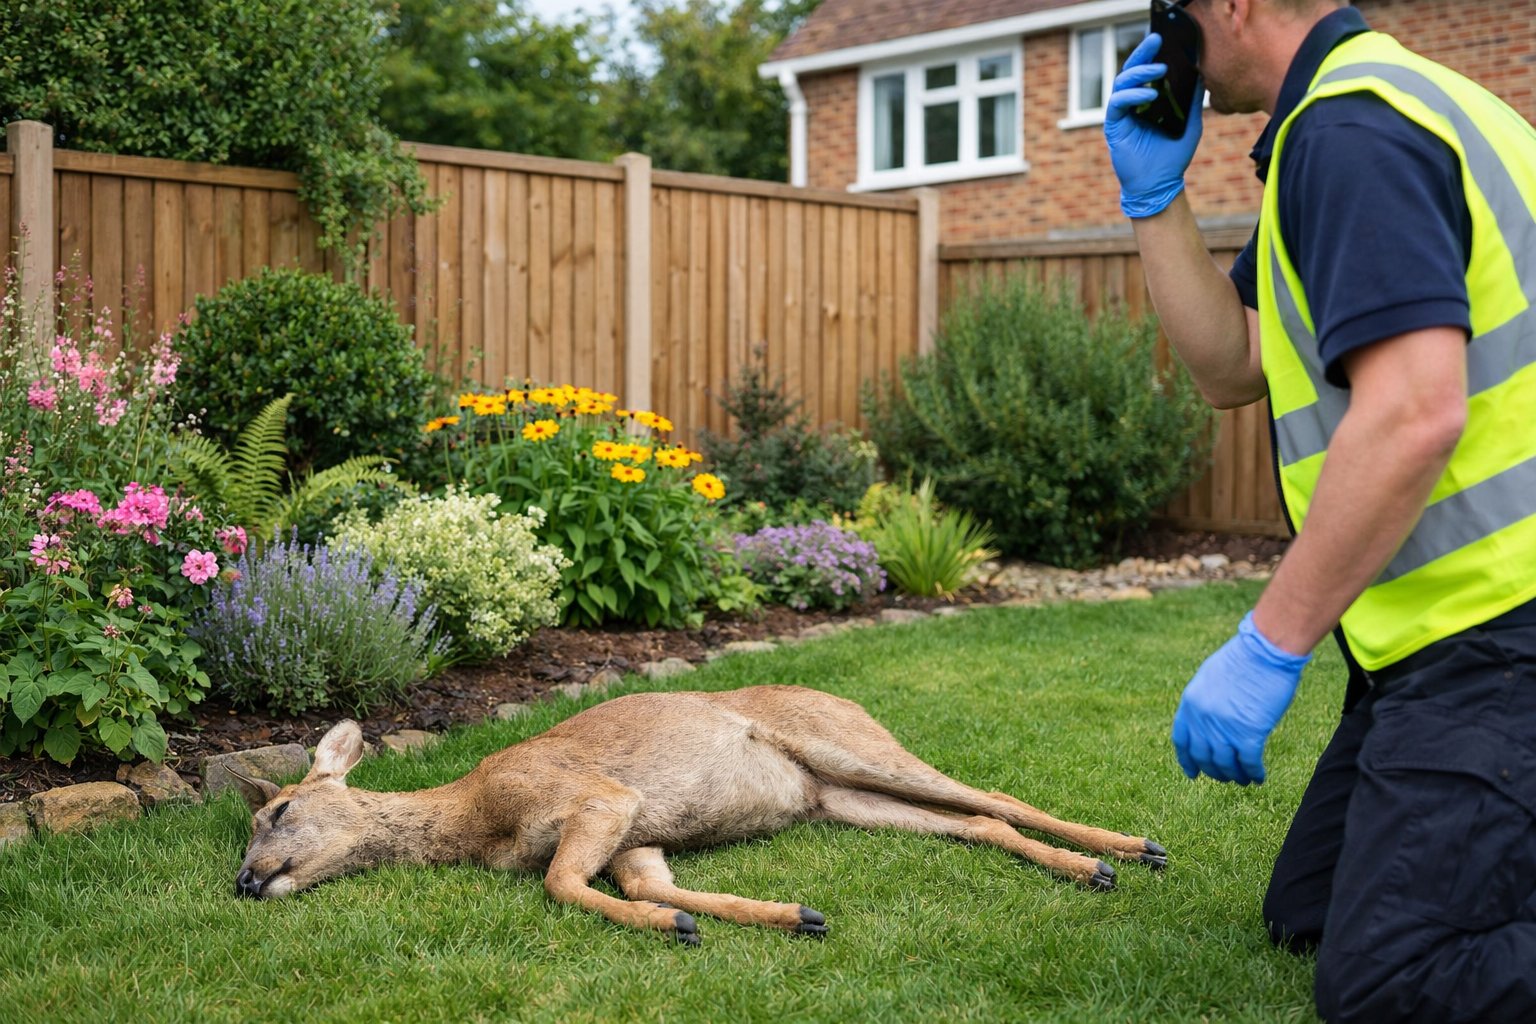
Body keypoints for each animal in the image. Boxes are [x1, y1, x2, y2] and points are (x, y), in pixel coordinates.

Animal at [227, 685, 1168, 945]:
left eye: (279, 810)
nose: (241, 881)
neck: (472, 817)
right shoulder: (635, 837)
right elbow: (645, 884)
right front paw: (784, 915)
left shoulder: (600, 798)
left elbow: (558, 883)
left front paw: (676, 926)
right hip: (841, 799)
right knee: (981, 824)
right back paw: (1098, 867)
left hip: (847, 743)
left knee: (996, 797)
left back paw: (1130, 849)